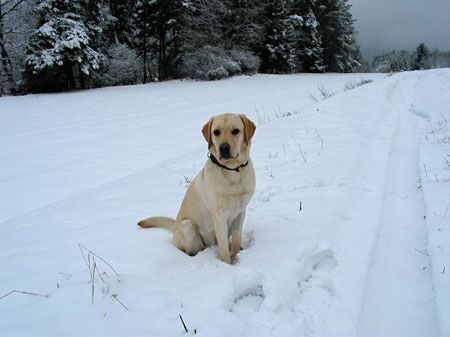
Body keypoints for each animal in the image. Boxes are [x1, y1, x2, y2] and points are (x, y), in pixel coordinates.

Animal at [137, 113, 256, 262]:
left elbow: (236, 241)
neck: (232, 170)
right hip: (188, 226)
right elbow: (223, 248)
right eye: (216, 132)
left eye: (236, 131)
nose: (223, 147)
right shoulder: (219, 216)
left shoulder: (241, 211)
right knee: (191, 249)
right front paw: (228, 263)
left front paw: (235, 255)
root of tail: (175, 225)